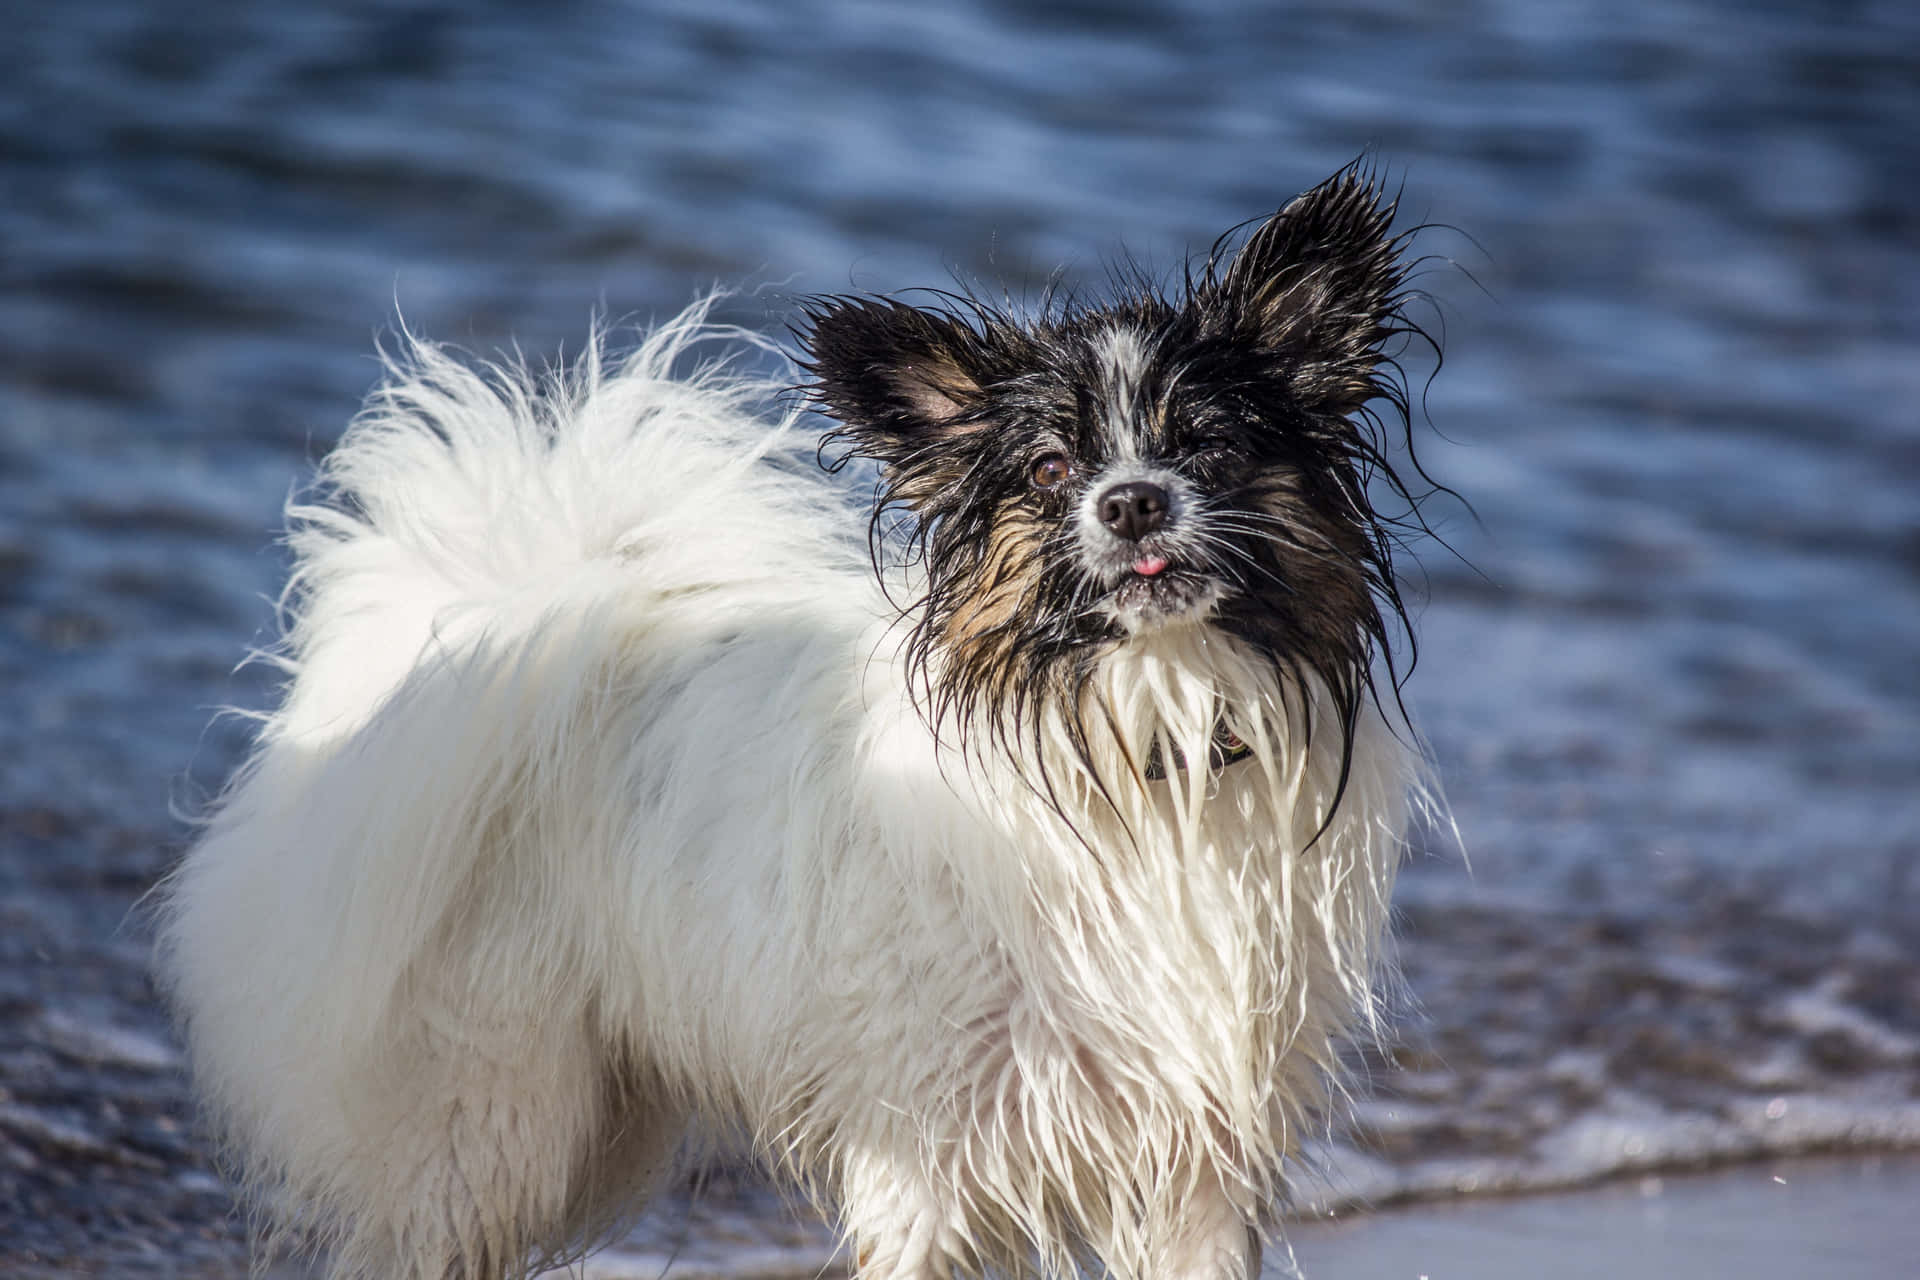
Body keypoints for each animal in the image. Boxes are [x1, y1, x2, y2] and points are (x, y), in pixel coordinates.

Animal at [157, 169, 1443, 1280]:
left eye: (1209, 443)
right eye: (1046, 468)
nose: (1131, 502)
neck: (1138, 748)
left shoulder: (1199, 1161)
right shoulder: (925, 1149)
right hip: (491, 1122)